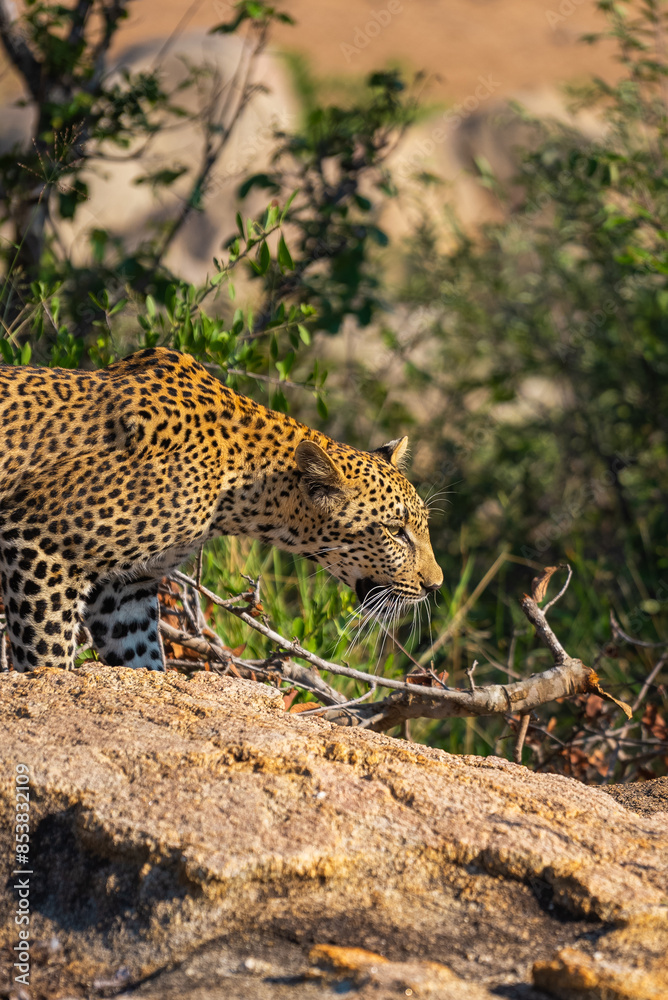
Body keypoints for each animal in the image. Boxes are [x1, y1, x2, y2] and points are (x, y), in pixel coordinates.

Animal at [0, 347, 442, 672]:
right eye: (395, 531)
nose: (435, 586)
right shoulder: (41, 544)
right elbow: (46, 654)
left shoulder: (126, 589)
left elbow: (142, 657)